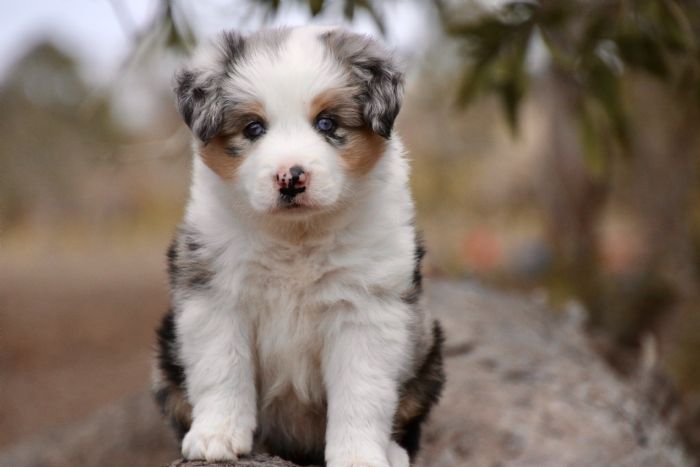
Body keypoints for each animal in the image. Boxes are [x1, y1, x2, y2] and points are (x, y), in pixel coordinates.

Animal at [153, 26, 446, 467]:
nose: (291, 178)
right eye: (253, 128)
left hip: (428, 352)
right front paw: (216, 437)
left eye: (327, 123)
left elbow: (362, 391)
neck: (295, 237)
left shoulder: (367, 310)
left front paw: (359, 456)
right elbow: (221, 369)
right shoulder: (215, 296)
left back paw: (393, 452)